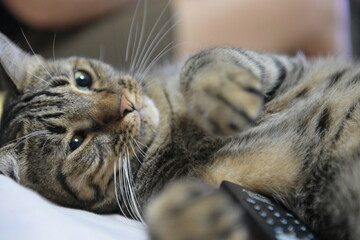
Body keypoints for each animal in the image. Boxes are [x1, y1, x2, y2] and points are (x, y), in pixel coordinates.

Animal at [0, 31, 360, 238]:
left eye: (82, 79)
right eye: (76, 141)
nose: (125, 106)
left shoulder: (282, 65)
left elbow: (205, 58)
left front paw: (218, 91)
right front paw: (195, 218)